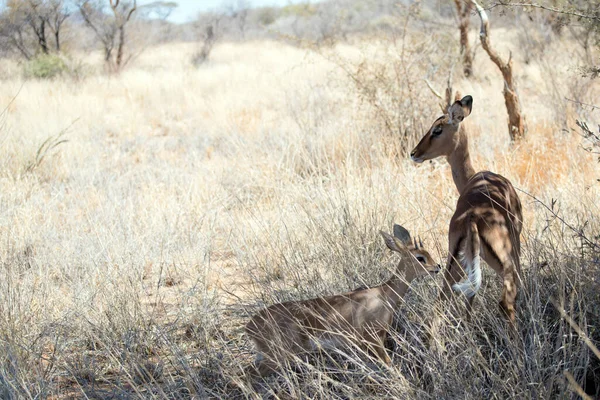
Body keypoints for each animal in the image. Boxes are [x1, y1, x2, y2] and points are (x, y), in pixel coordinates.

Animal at [245, 227, 440, 376]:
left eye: (428, 253)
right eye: (420, 258)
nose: (437, 267)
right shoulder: (373, 338)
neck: (383, 294)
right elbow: (389, 365)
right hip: (276, 357)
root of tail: (250, 325)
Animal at [410, 94, 524, 324]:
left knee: (442, 300)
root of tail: (473, 217)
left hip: (455, 263)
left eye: (437, 129)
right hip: (504, 264)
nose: (414, 153)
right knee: (506, 302)